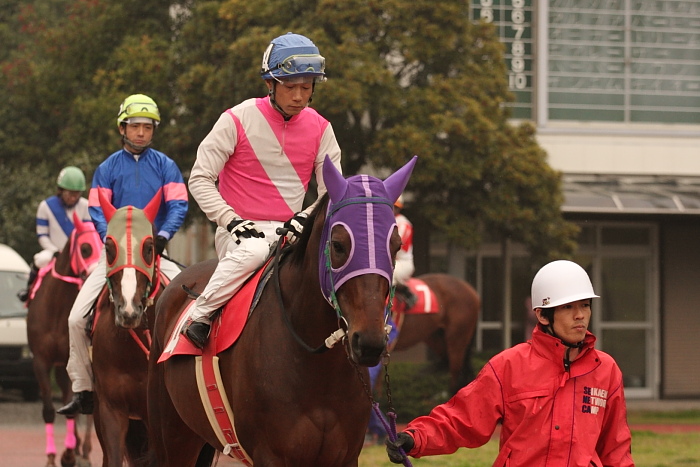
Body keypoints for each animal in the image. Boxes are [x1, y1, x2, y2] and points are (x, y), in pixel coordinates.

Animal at [26, 213, 101, 467]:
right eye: (85, 248)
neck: (56, 308)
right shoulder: (41, 361)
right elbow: (49, 409)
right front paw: (52, 456)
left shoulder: (71, 358)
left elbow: (73, 409)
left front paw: (69, 454)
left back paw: (83, 450)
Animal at [146, 155, 416, 466]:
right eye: (338, 245)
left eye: (395, 246)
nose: (370, 342)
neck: (318, 369)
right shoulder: (270, 454)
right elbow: (202, 175)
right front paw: (241, 225)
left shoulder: (345, 456)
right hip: (172, 435)